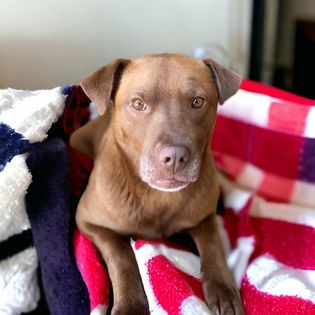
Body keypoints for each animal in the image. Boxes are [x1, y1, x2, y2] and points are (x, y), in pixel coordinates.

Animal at [71, 53, 244, 314]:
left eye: (198, 102)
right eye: (138, 103)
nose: (175, 156)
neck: (158, 196)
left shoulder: (204, 217)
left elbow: (212, 243)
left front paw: (222, 288)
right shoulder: (89, 221)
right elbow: (121, 254)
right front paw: (130, 305)